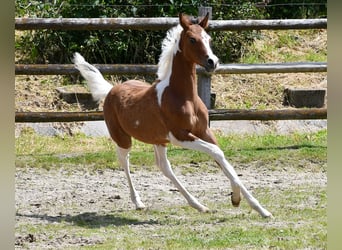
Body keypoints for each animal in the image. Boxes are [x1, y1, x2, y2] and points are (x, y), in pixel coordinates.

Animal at [73, 13, 272, 217]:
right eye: (192, 39)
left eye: (209, 39)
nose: (212, 62)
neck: (183, 96)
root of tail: (111, 90)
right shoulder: (179, 136)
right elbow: (216, 152)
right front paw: (237, 199)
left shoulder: (204, 132)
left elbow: (222, 159)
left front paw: (257, 207)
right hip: (123, 138)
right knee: (124, 160)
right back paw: (139, 202)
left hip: (158, 140)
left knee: (164, 166)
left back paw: (198, 205)